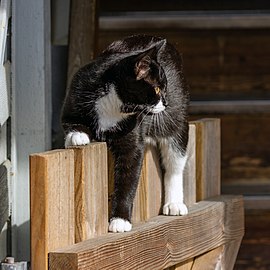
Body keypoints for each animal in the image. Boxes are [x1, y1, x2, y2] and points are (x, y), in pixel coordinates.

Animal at [62, 34, 190, 233]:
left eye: (165, 88)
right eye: (157, 89)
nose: (166, 102)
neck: (113, 105)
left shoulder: (133, 132)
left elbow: (128, 177)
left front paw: (120, 220)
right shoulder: (75, 93)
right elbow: (69, 121)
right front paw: (78, 136)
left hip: (177, 118)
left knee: (175, 160)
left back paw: (174, 203)